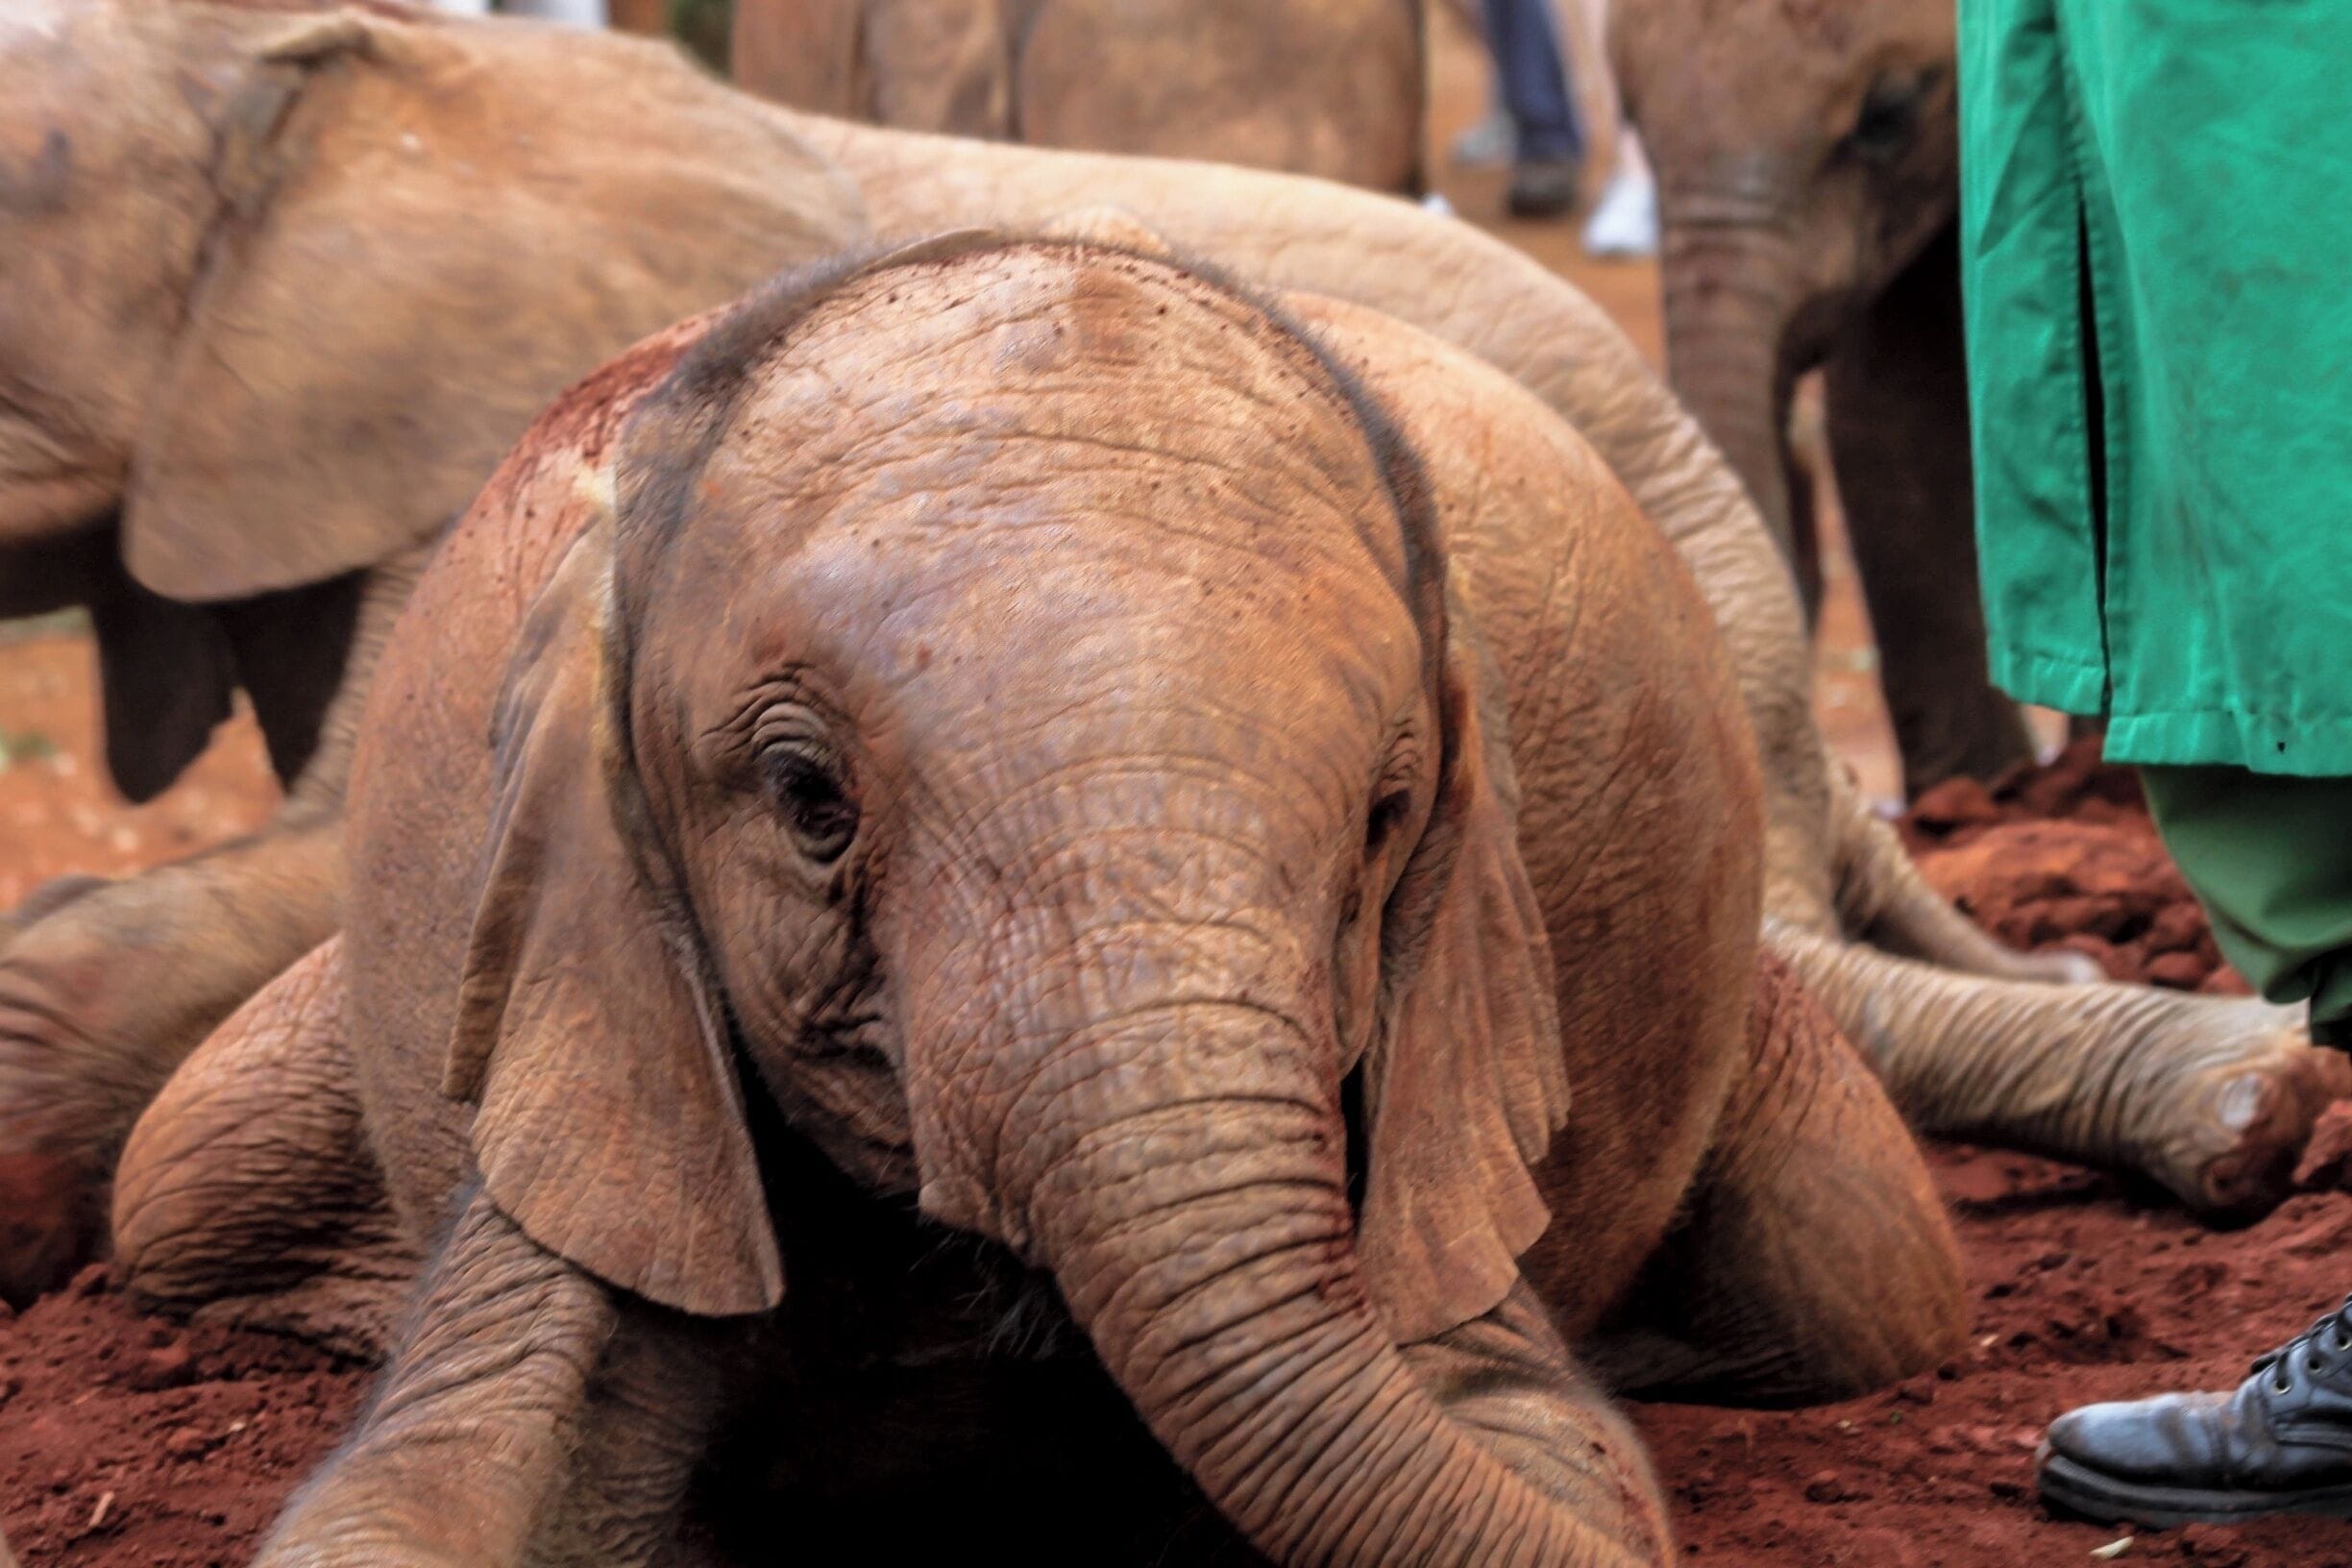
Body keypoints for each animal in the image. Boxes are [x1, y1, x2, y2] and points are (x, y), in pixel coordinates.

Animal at [109, 231, 1971, 1566]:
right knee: (172, 1168)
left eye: (1386, 819)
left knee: (1858, 1264)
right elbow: (428, 1488)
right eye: (807, 802)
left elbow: (1542, 1449)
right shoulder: (594, 997)